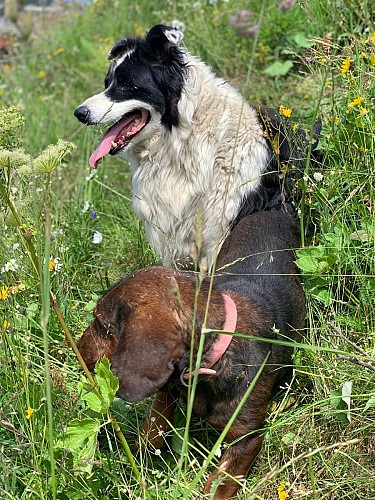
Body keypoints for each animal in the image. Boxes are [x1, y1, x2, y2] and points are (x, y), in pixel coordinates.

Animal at [78, 212, 304, 500]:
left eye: (101, 324)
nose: (76, 348)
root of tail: (273, 210)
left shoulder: (246, 436)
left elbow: (221, 482)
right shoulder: (168, 383)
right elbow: (156, 419)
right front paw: (143, 447)